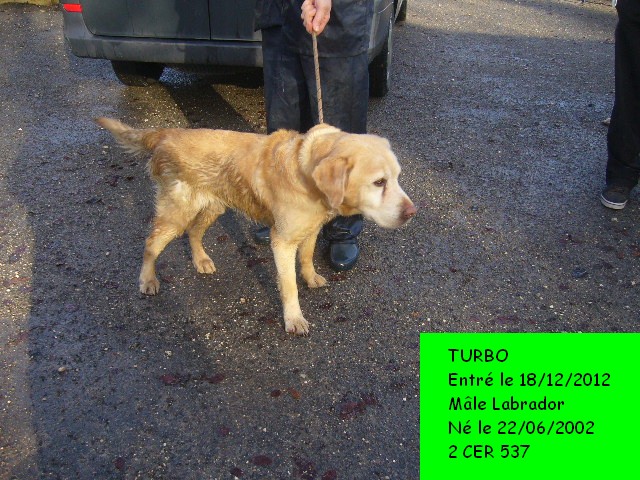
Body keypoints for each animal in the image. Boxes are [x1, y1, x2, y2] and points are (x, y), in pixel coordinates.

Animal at [94, 117, 416, 334]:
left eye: (398, 177)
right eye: (379, 182)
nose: (412, 212)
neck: (306, 171)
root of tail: (166, 132)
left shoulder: (310, 229)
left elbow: (307, 257)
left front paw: (311, 277)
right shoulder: (281, 241)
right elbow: (289, 286)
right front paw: (293, 318)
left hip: (214, 205)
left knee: (194, 233)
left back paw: (201, 260)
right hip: (177, 212)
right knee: (151, 243)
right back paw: (148, 279)